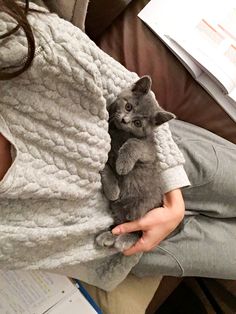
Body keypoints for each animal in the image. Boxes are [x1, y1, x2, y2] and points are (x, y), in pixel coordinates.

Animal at [96, 75, 175, 250]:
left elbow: (133, 143)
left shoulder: (149, 150)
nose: (125, 120)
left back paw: (125, 240)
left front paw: (123, 165)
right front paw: (113, 190)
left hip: (140, 208)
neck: (119, 133)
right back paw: (108, 236)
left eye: (138, 123)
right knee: (120, 222)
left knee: (136, 228)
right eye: (128, 106)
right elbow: (107, 166)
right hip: (118, 208)